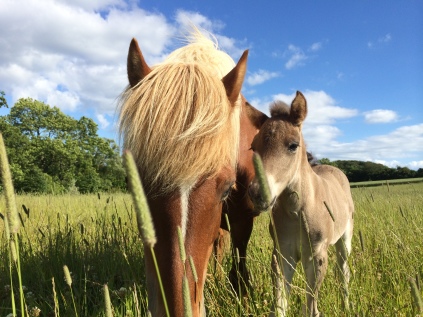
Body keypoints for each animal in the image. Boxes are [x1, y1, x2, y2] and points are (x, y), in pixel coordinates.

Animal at [248, 90, 354, 314]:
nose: (257, 193)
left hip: (345, 238)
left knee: (343, 271)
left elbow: (311, 308)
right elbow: (279, 306)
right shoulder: (281, 255)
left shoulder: (316, 257)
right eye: (253, 147)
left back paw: (347, 306)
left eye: (293, 145)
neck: (296, 212)